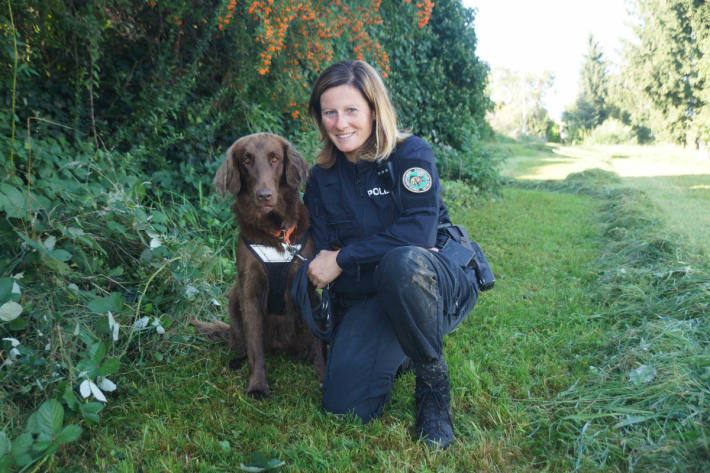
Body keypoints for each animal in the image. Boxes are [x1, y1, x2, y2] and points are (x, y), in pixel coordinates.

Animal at [195, 133, 328, 398]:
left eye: (275, 158)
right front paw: (257, 386)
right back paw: (237, 361)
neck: (275, 234)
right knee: (241, 343)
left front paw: (323, 376)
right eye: (246, 160)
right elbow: (254, 345)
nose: (264, 195)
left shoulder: (307, 289)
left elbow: (317, 339)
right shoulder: (249, 290)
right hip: (233, 297)